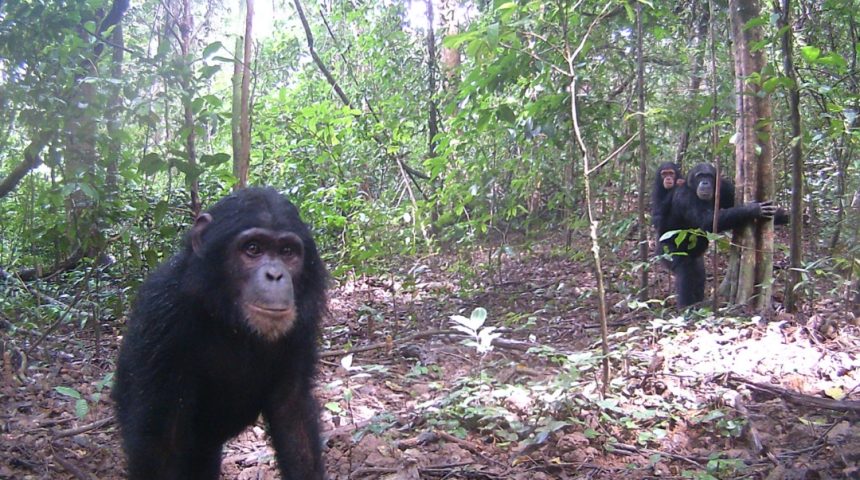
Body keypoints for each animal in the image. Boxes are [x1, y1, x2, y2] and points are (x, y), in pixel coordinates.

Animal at [112, 188, 328, 480]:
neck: (229, 316)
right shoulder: (162, 315)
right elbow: (162, 444)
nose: (275, 274)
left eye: (287, 252)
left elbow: (293, 413)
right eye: (253, 248)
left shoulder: (303, 322)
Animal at [656, 163, 784, 306]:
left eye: (709, 176)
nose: (705, 182)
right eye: (700, 176)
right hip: (665, 250)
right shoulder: (684, 197)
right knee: (686, 269)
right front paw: (752, 209)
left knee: (698, 272)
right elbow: (707, 221)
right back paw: (686, 306)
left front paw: (786, 215)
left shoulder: (725, 187)